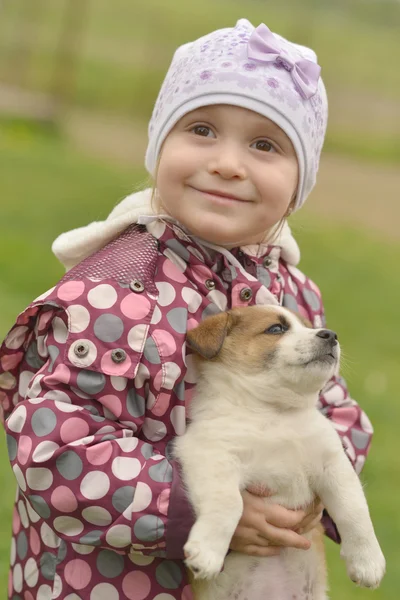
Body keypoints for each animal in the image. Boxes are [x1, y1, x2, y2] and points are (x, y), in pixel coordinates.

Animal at [173, 308, 386, 596]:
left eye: (308, 326)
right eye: (276, 329)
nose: (331, 335)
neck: (275, 413)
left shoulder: (333, 464)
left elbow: (355, 510)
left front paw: (368, 562)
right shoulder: (211, 455)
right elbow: (229, 503)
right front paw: (207, 552)